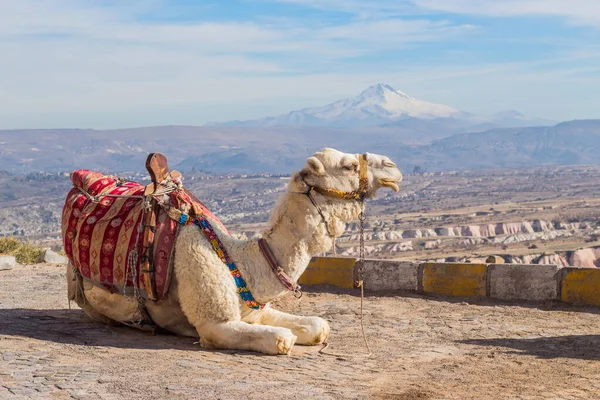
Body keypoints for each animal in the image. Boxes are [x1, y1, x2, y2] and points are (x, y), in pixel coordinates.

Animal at [67, 148, 404, 354]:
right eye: (349, 166)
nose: (393, 167)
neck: (242, 262)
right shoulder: (215, 325)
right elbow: (283, 340)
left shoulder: (257, 309)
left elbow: (319, 326)